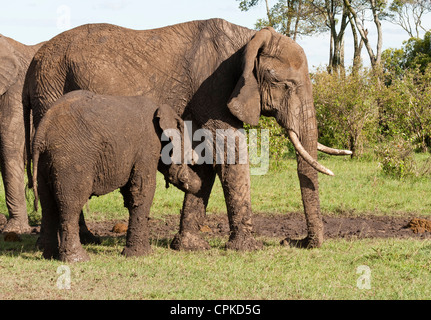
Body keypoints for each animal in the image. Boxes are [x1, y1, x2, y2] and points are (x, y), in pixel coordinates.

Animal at [32, 90, 202, 262]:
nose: (198, 183)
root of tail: (42, 133)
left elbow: (130, 193)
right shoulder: (148, 146)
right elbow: (143, 189)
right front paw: (141, 254)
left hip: (45, 163)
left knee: (48, 205)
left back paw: (50, 256)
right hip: (71, 161)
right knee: (71, 205)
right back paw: (78, 259)